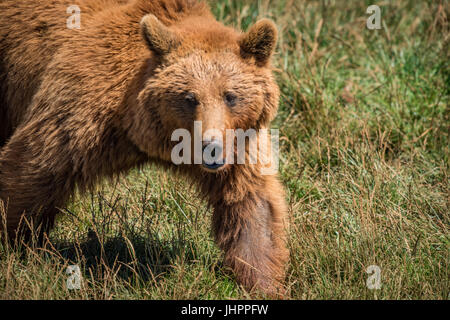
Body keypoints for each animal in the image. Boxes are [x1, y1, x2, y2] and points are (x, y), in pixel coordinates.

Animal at [0, 0, 288, 296]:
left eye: (230, 96)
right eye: (190, 97)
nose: (212, 148)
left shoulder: (240, 144)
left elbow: (251, 205)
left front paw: (262, 282)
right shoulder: (81, 110)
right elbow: (34, 166)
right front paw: (19, 246)